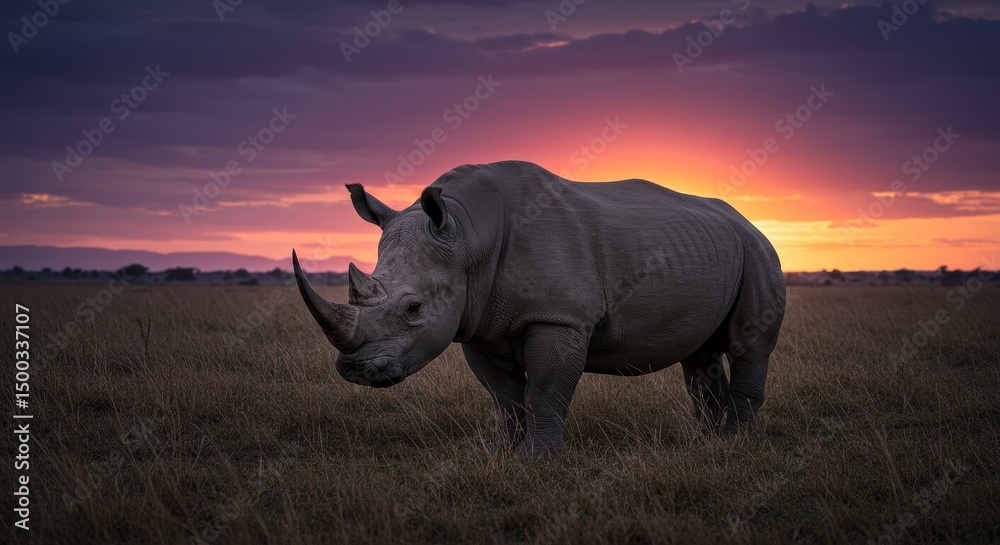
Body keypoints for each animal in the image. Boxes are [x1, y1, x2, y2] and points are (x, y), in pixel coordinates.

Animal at [292, 161, 785, 457]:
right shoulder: (477, 323)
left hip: (758, 250)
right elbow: (505, 396)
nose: (355, 370)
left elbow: (545, 390)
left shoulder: (558, 317)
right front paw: (506, 454)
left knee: (748, 345)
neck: (466, 236)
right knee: (699, 354)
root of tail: (744, 219)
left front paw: (539, 459)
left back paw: (737, 443)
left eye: (413, 308)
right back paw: (707, 441)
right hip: (714, 249)